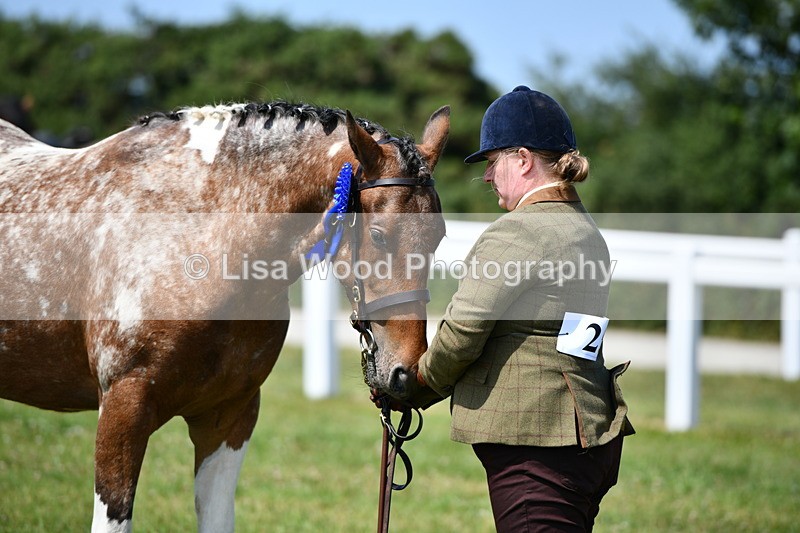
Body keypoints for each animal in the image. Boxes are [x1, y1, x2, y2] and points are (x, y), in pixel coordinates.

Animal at [0, 100, 449, 532]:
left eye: (439, 236)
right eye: (377, 235)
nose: (406, 374)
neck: (197, 237)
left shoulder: (230, 415)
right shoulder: (122, 409)